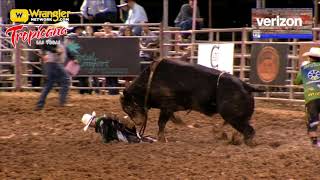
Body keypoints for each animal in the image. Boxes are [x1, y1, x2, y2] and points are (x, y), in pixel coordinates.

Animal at [120, 59, 262, 144]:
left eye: (129, 107)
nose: (138, 123)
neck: (151, 81)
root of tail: (245, 85)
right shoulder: (169, 108)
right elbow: (171, 119)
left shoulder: (166, 106)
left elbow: (161, 123)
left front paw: (162, 138)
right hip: (236, 116)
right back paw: (224, 134)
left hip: (234, 116)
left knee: (248, 130)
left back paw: (246, 142)